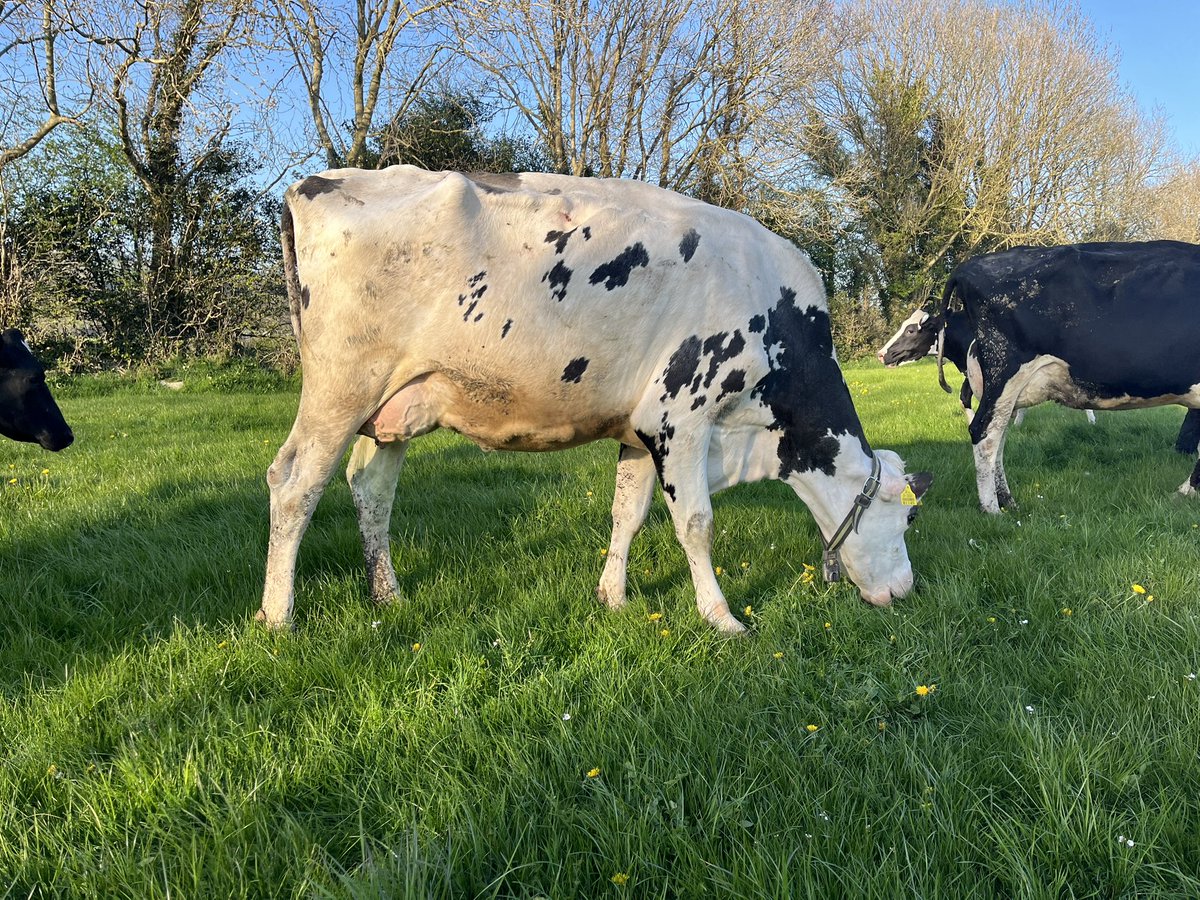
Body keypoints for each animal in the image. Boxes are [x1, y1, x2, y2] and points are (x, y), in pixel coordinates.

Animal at [261, 166, 933, 634]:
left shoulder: (640, 429)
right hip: (341, 389)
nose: (906, 591)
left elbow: (626, 513)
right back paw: (277, 616)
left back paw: (388, 594)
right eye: (907, 518)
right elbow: (696, 523)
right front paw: (722, 618)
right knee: (295, 484)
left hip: (393, 409)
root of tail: (317, 182)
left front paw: (613, 598)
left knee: (370, 492)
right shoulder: (681, 415)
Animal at [932, 240, 1200, 513]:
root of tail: (968, 265)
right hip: (1005, 369)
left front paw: (1186, 491)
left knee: (999, 431)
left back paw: (1006, 500)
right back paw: (992, 509)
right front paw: (1186, 492)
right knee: (985, 433)